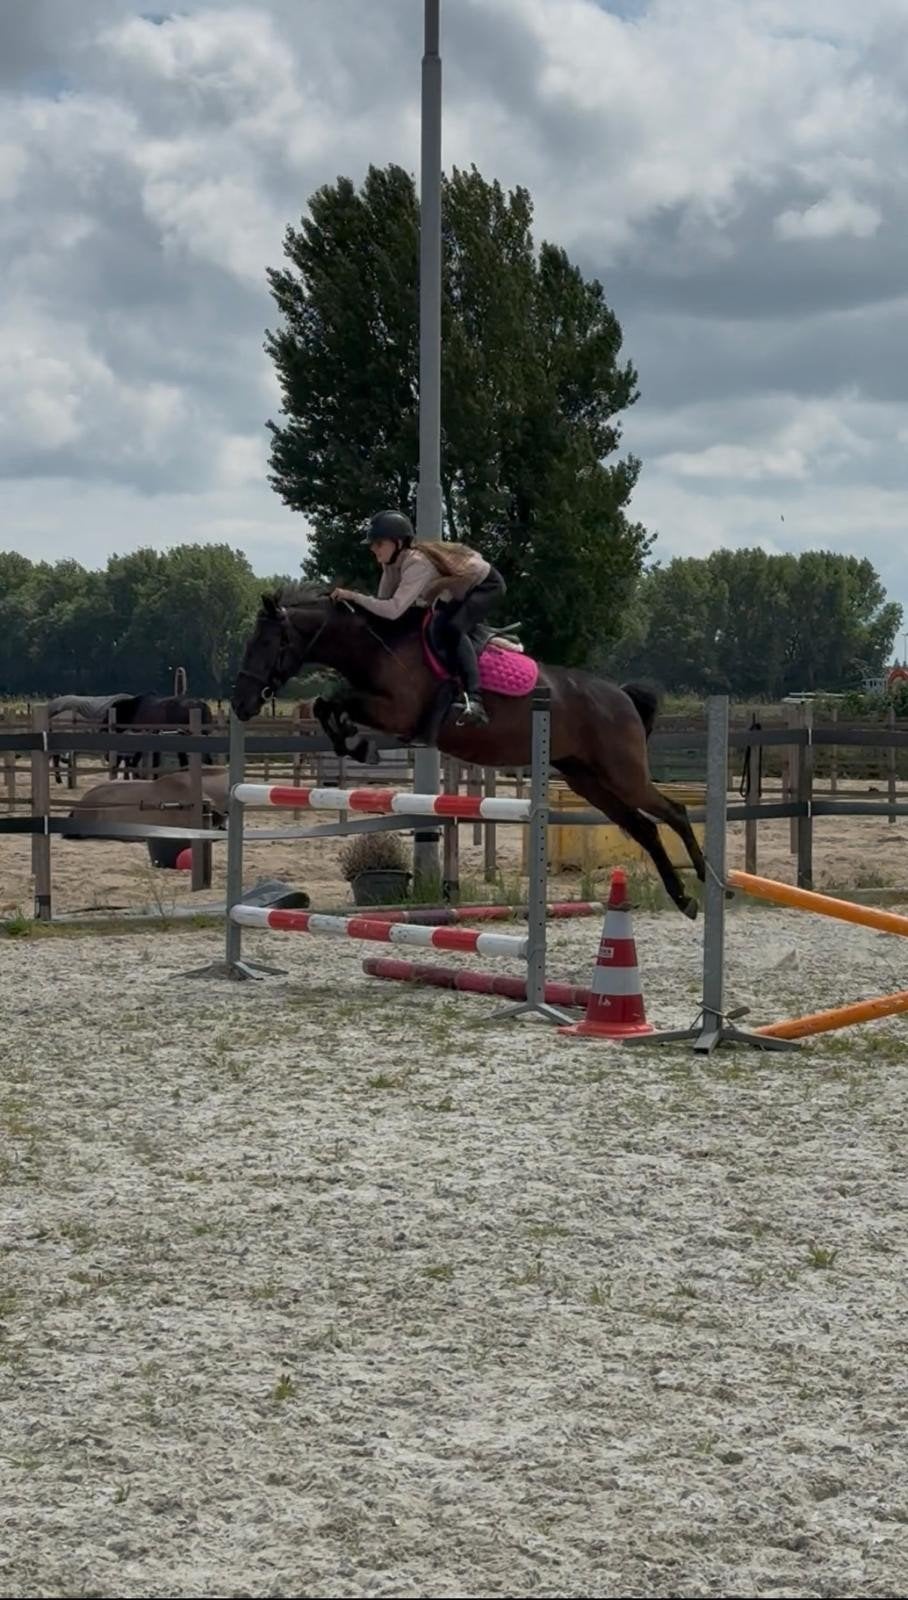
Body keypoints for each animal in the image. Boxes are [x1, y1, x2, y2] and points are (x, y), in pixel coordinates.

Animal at [230, 589, 706, 919]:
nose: (240, 704)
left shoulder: (398, 712)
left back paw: (706, 879)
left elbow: (336, 700)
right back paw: (683, 898)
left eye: (267, 644)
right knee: (644, 827)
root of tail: (621, 695)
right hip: (587, 779)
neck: (381, 643)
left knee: (675, 812)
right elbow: (328, 704)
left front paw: (357, 743)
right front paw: (352, 741)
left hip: (622, 774)